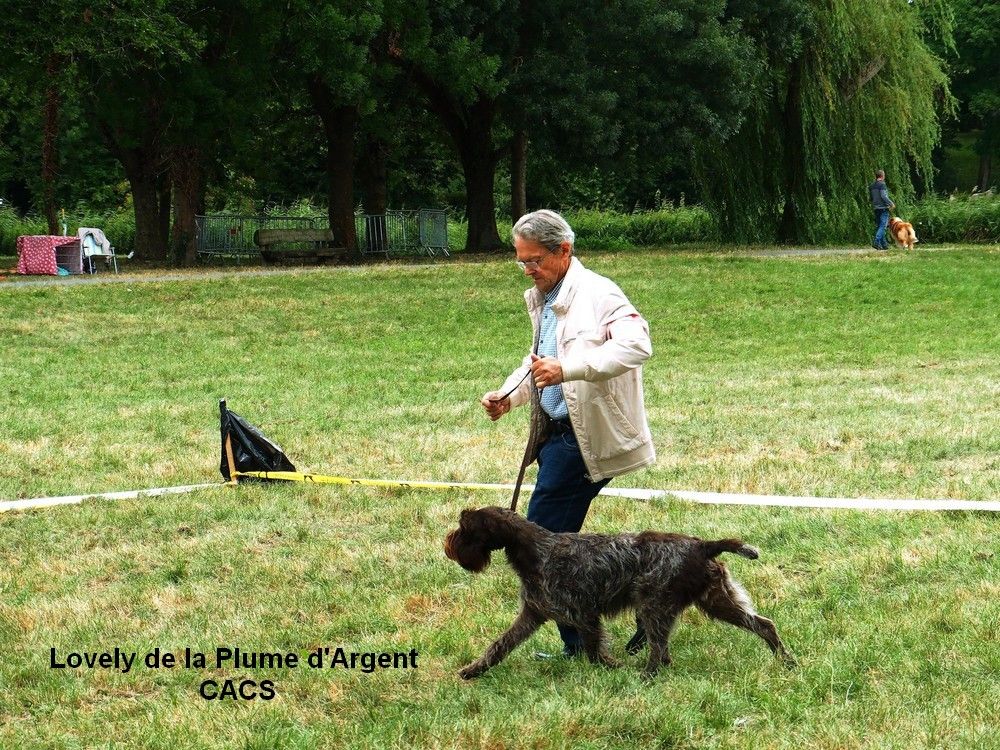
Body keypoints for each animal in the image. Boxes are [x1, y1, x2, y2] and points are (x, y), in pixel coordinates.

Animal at [446, 508, 796, 680]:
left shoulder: (583, 614)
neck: (536, 551)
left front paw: (611, 668)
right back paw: (787, 662)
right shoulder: (532, 614)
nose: (448, 545)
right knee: (764, 625)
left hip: (655, 606)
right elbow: (499, 645)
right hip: (716, 600)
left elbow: (593, 651)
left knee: (658, 652)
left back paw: (645, 676)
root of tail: (702, 545)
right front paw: (474, 670)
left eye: (464, 529)